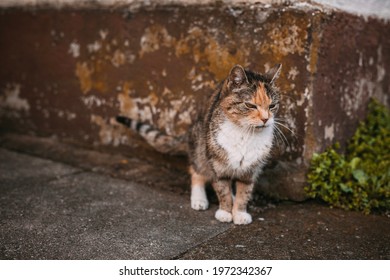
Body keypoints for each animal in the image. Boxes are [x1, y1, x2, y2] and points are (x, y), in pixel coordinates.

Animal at [116, 64, 280, 225]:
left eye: (272, 106)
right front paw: (225, 212)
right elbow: (223, 190)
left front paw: (239, 213)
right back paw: (199, 199)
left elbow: (244, 192)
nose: (266, 119)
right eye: (250, 105)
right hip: (200, 146)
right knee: (196, 170)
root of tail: (191, 128)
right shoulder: (216, 165)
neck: (245, 134)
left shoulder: (251, 170)